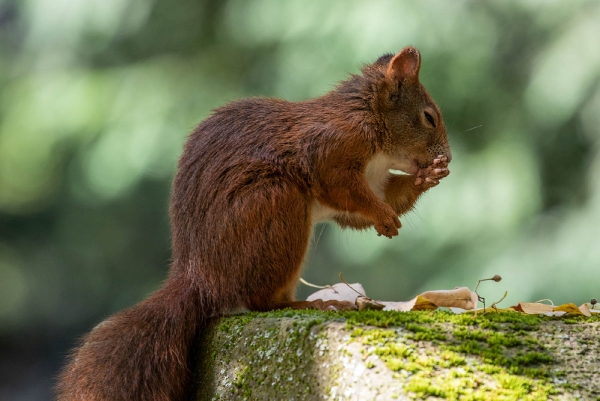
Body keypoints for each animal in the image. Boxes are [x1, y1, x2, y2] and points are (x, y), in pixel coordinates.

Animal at [57, 47, 450, 400]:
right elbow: (345, 190)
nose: (446, 157)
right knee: (261, 301)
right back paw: (312, 305)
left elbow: (375, 202)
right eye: (429, 117)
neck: (369, 121)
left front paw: (426, 179)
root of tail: (201, 278)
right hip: (276, 206)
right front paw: (385, 215)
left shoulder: (375, 180)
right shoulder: (331, 149)